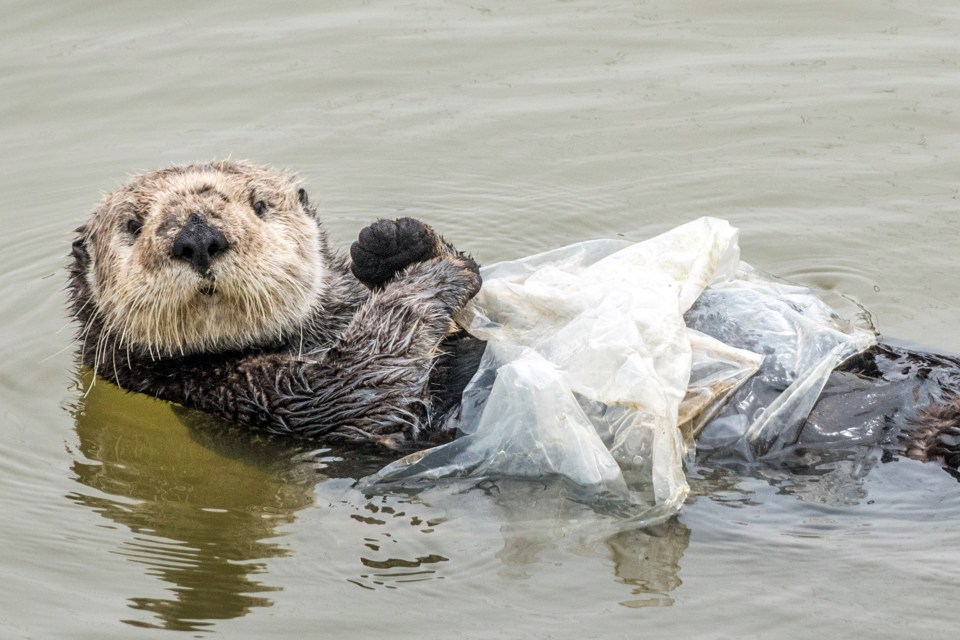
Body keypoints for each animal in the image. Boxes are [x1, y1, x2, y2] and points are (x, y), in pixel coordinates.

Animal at [67, 161, 960, 476]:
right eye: (134, 224)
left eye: (259, 203)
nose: (198, 233)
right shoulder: (254, 395)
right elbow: (373, 376)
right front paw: (428, 275)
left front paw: (396, 240)